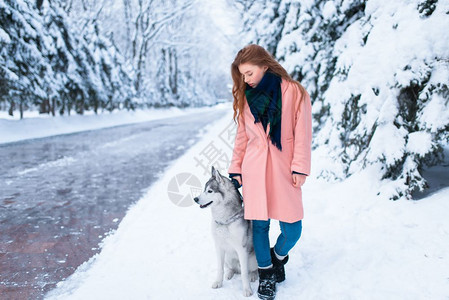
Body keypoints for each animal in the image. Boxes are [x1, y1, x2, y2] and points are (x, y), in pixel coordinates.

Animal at [193, 166, 260, 298]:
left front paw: (247, 290)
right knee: (231, 268)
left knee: (250, 270)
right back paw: (229, 273)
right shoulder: (218, 247)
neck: (224, 221)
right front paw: (218, 282)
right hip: (227, 258)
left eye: (210, 191)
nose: (195, 199)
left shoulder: (241, 249)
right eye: (204, 189)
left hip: (252, 258)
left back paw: (253, 275)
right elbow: (220, 269)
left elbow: (244, 273)